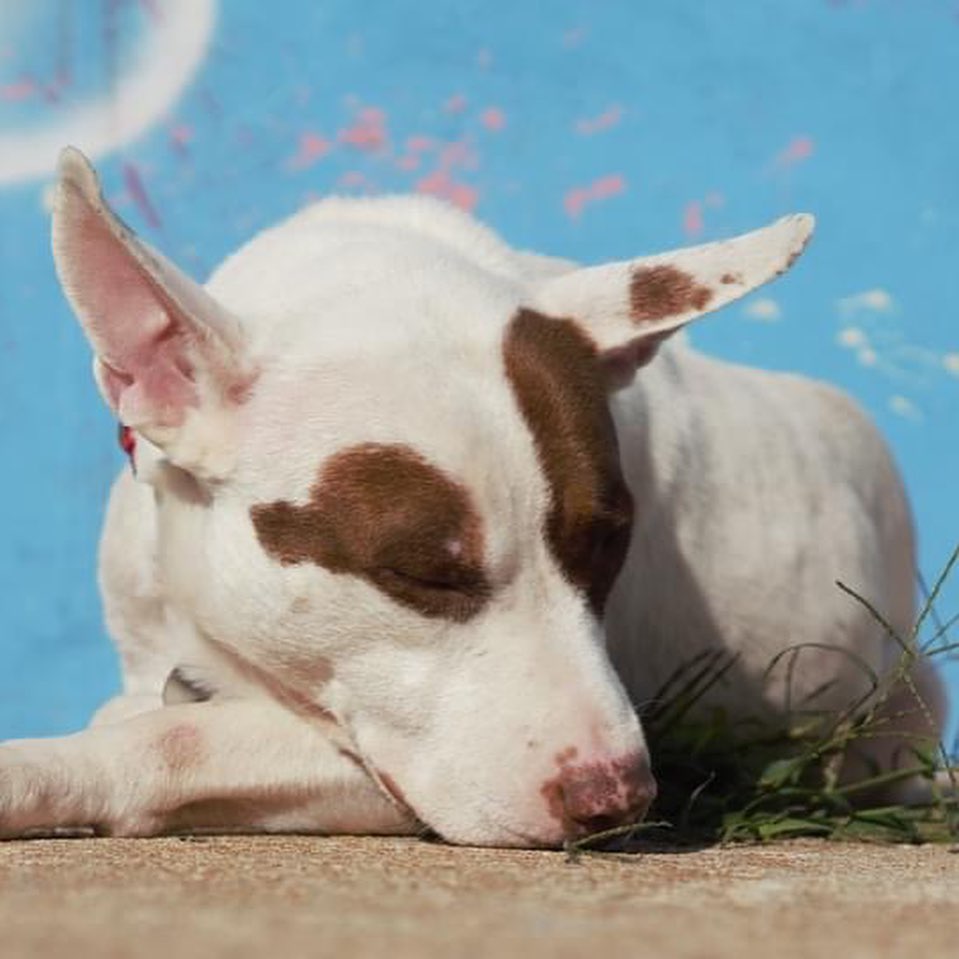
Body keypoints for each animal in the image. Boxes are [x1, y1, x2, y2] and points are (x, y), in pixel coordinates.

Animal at [0, 148, 944, 848]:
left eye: (610, 542)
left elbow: (175, 736)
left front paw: (37, 768)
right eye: (422, 573)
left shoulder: (377, 764)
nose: (618, 801)